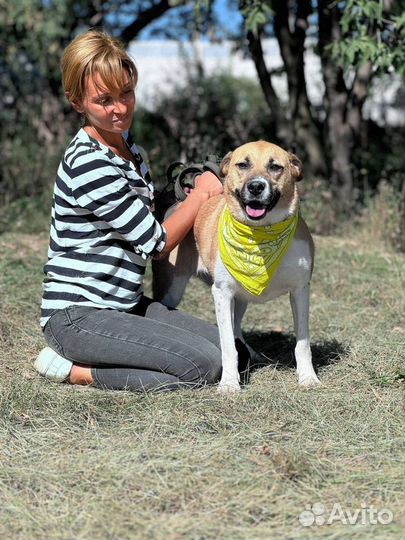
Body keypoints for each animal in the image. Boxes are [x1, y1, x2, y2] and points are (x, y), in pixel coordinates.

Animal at [153, 139, 320, 392]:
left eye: (275, 167)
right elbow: (228, 345)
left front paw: (308, 377)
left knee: (237, 326)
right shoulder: (222, 293)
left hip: (241, 294)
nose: (256, 187)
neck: (260, 236)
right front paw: (230, 384)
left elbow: (302, 343)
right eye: (243, 165)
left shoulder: (300, 290)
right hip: (173, 289)